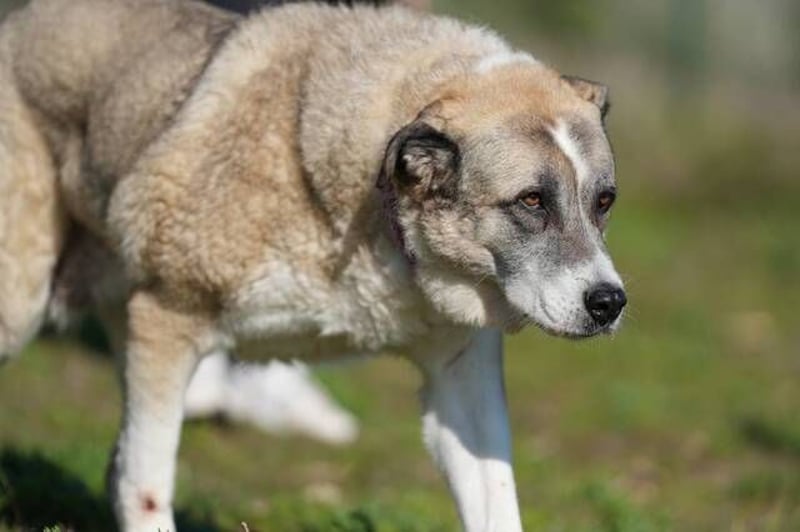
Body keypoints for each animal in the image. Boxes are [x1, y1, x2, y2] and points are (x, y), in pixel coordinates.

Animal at [0, 0, 626, 530]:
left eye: (604, 201)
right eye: (531, 201)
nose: (610, 303)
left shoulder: (461, 378)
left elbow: (497, 502)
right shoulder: (168, 319)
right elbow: (146, 484)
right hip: (22, 299)